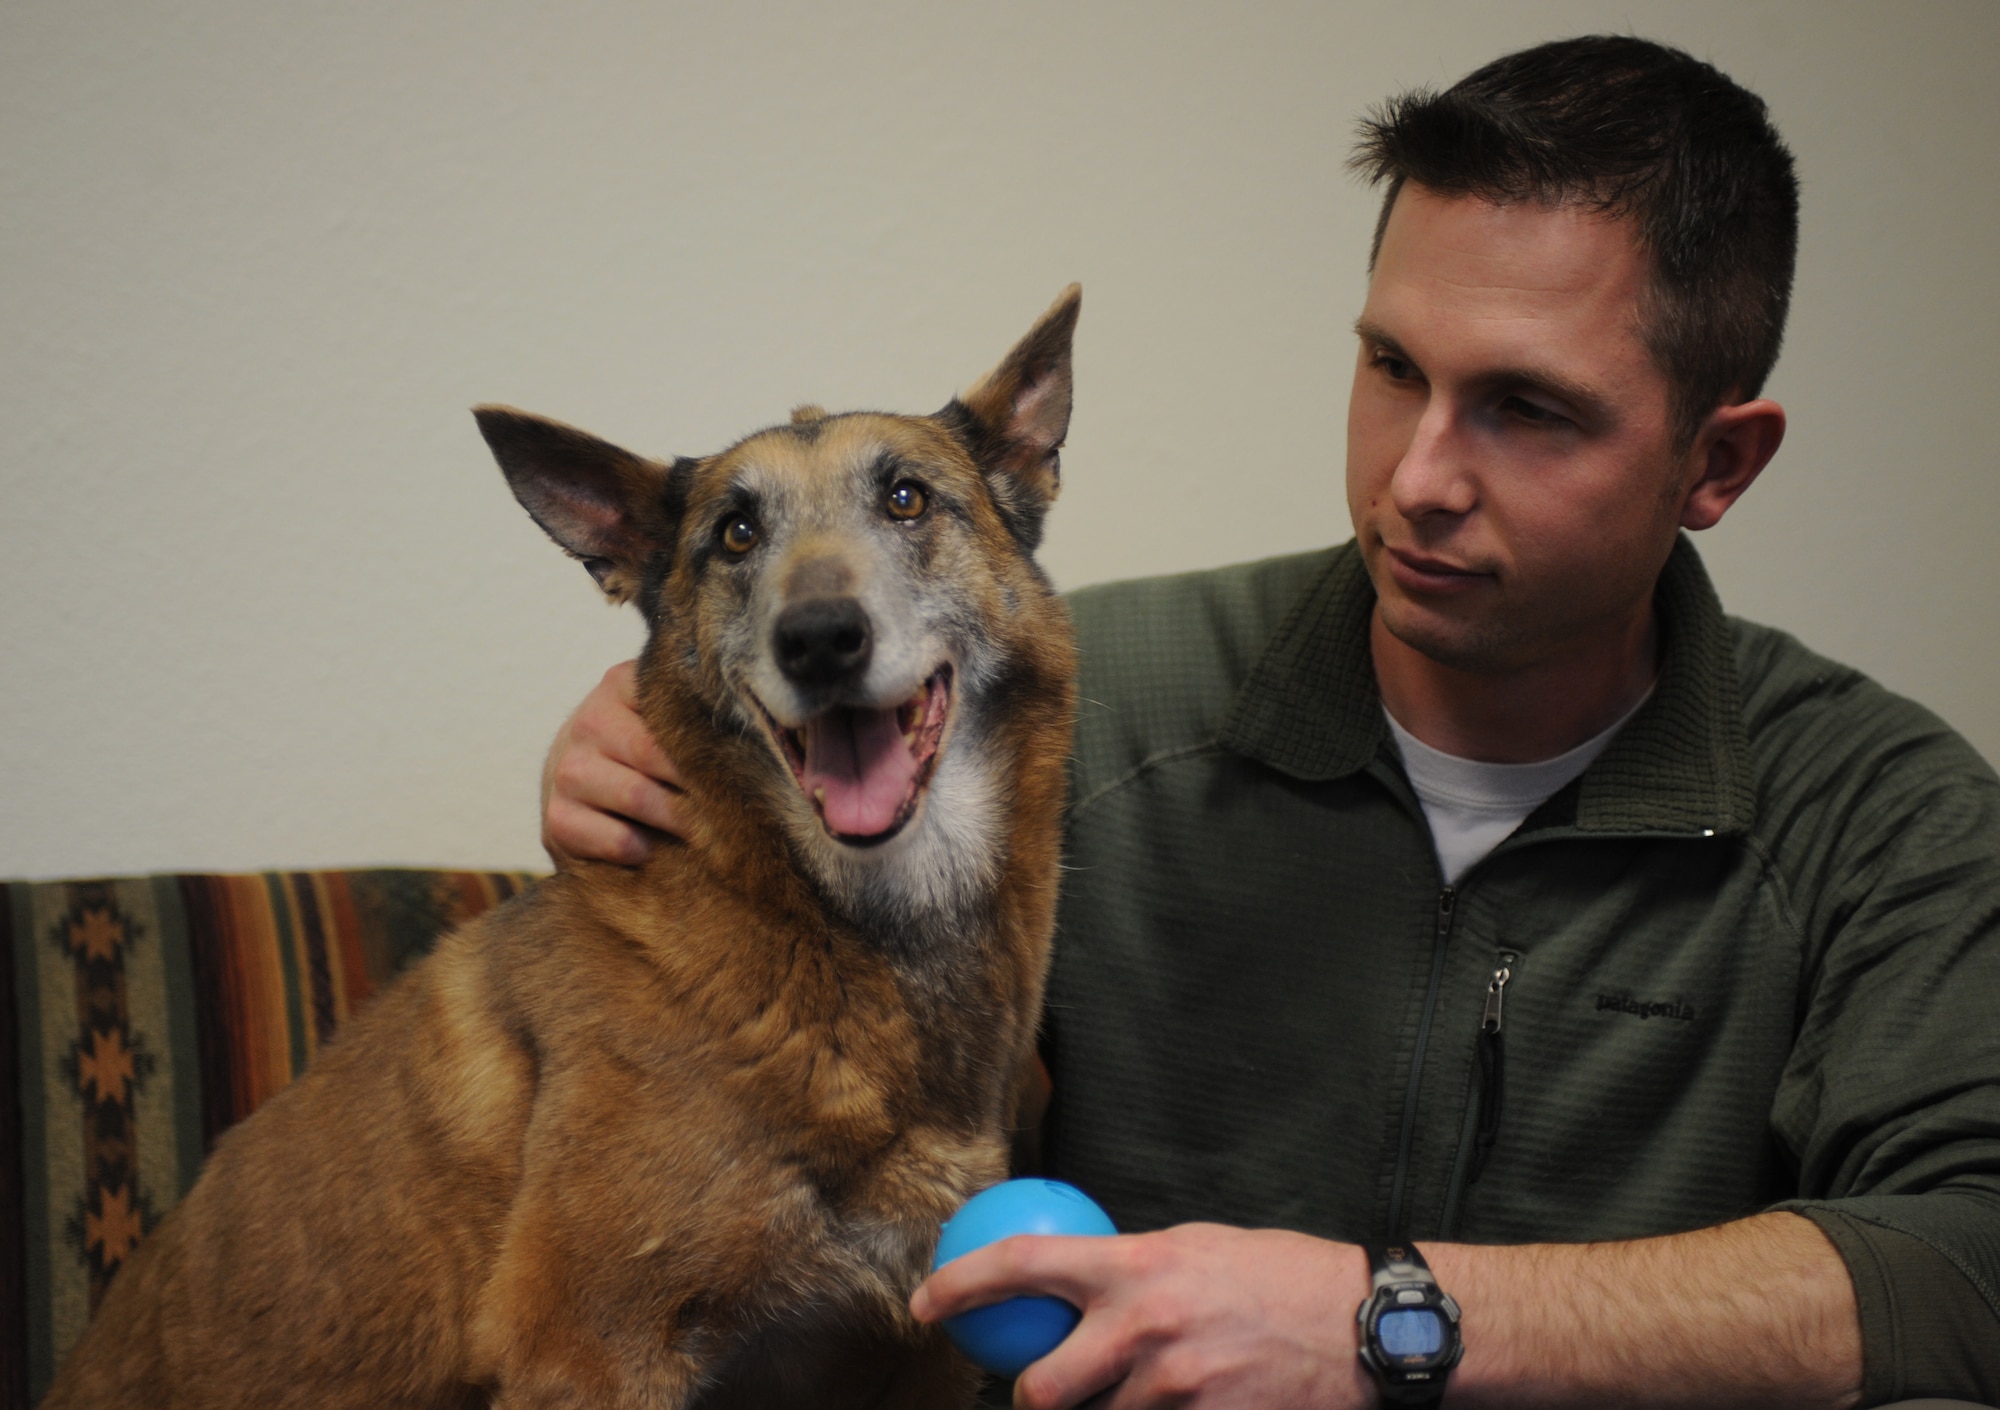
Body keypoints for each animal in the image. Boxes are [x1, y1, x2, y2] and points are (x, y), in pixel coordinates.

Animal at [43, 286, 1080, 1408]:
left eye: (904, 499)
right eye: (735, 534)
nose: (817, 640)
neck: (843, 928)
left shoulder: (911, 1362)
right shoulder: (585, 1352)